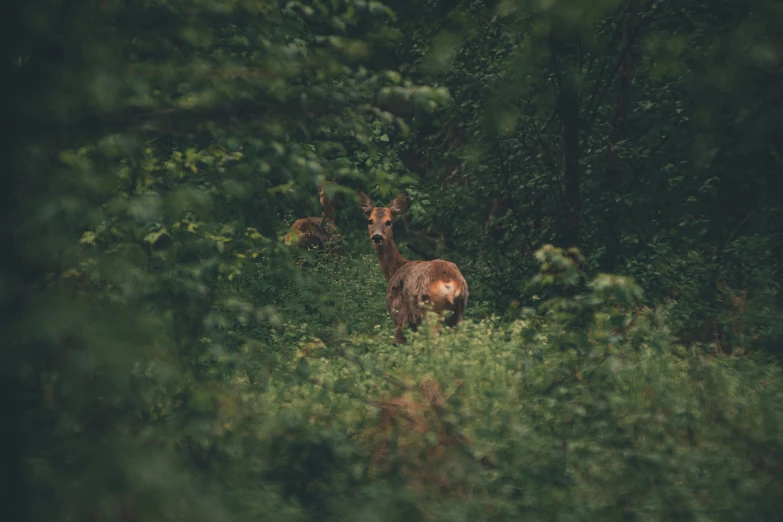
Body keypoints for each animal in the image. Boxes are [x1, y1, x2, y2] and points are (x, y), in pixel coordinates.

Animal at [356, 189, 472, 344]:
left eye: (388, 222)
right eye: (370, 221)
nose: (377, 237)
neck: (395, 269)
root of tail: (450, 284)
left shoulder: (398, 315)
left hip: (432, 311)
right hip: (459, 313)